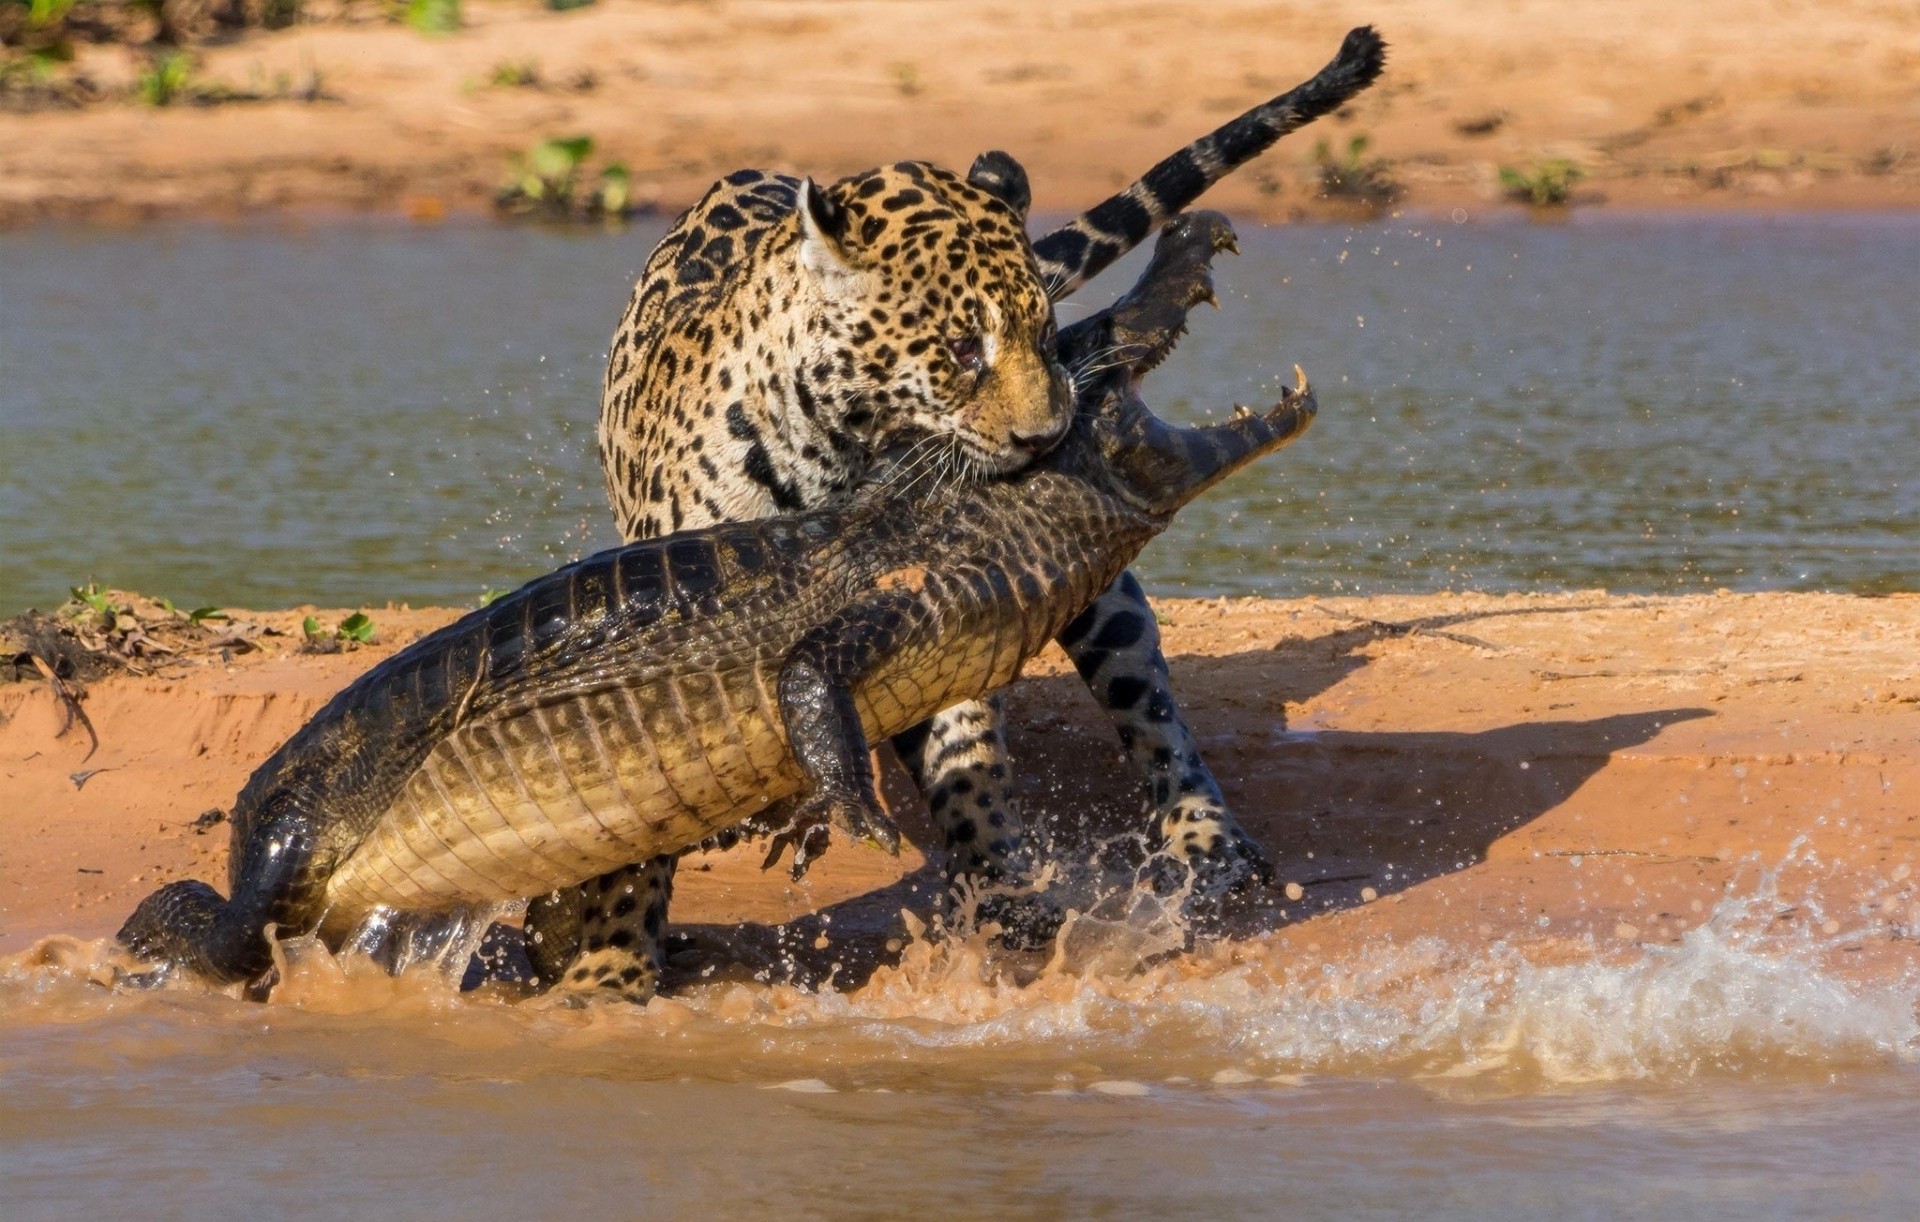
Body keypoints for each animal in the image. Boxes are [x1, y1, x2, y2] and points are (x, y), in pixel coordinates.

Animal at [525, 27, 1387, 1002]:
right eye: (961, 348)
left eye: (1045, 333)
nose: (1048, 436)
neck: (843, 450)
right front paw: (609, 970)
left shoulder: (946, 596)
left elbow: (965, 750)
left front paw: (1000, 893)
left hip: (1106, 604)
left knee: (1153, 710)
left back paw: (1205, 839)